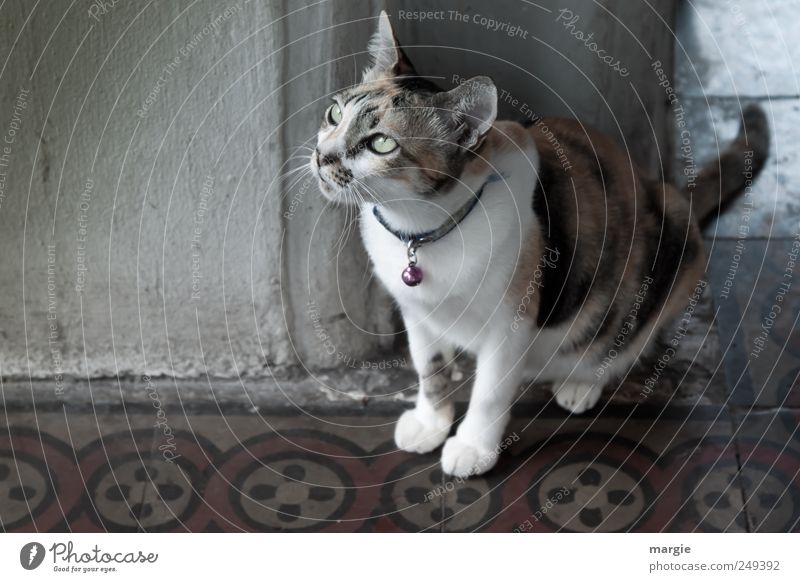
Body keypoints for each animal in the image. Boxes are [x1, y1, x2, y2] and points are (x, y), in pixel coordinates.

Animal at [310, 11, 772, 480]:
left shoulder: (510, 323)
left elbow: (490, 390)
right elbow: (430, 369)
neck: (421, 230)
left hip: (672, 242)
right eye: (334, 113)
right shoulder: (417, 313)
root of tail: (667, 189)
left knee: (629, 335)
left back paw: (582, 382)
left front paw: (473, 447)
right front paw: (431, 423)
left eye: (381, 143)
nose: (322, 156)